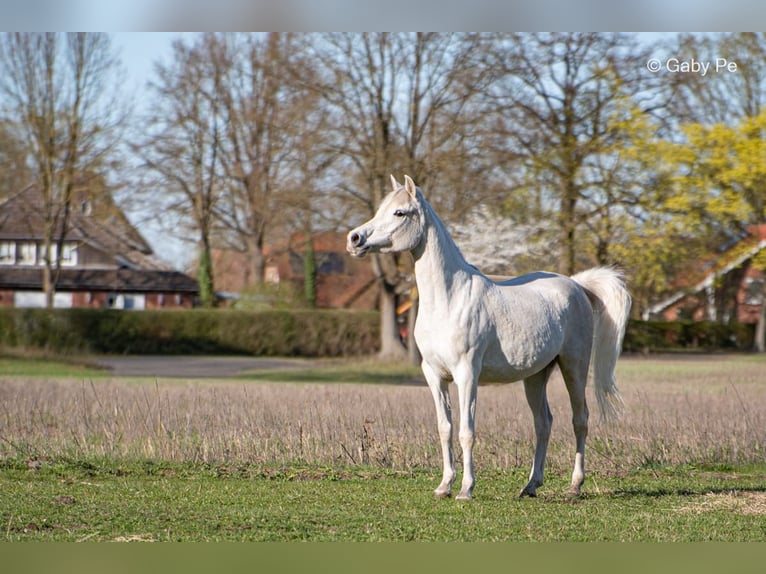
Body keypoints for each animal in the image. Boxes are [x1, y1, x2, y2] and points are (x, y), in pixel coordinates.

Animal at [347, 175, 631, 500]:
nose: (354, 239)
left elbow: (466, 432)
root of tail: (576, 285)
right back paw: (531, 485)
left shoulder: (467, 374)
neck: (449, 299)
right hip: (536, 376)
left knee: (580, 419)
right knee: (543, 423)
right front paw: (444, 485)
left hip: (574, 367)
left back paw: (574, 485)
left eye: (399, 212)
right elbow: (445, 428)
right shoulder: (433, 375)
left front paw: (466, 489)